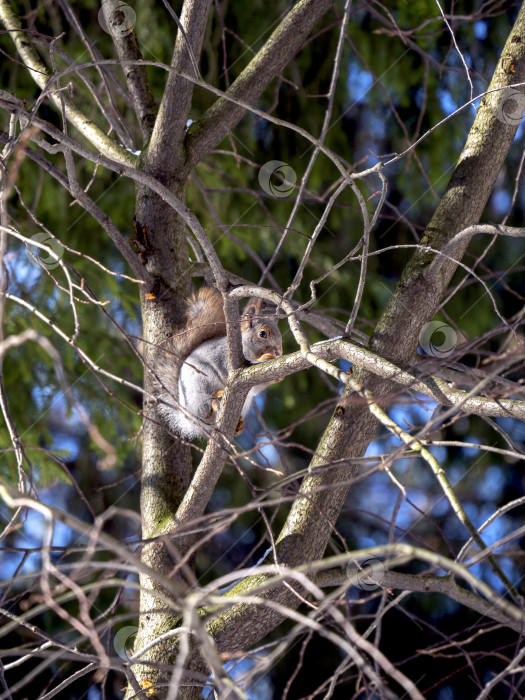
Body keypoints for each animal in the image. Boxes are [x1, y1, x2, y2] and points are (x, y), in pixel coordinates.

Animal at [156, 284, 282, 438]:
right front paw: (263, 358)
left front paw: (278, 377)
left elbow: (255, 387)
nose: (278, 352)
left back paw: (238, 424)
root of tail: (187, 417)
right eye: (262, 334)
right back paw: (215, 401)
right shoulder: (226, 356)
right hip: (201, 384)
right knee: (206, 412)